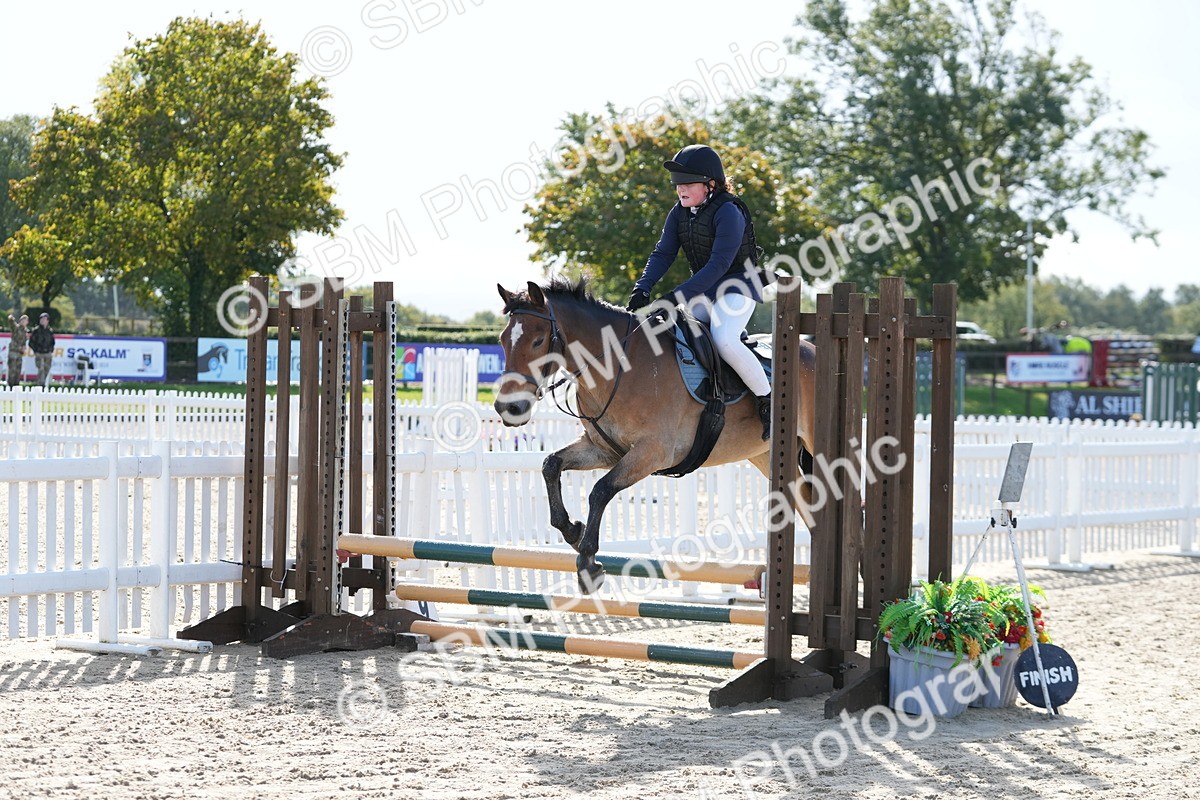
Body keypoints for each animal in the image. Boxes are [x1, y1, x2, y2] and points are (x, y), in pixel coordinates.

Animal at [494, 277, 816, 593]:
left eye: (538, 341)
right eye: (502, 340)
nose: (508, 408)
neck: (619, 367)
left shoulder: (653, 452)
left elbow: (600, 490)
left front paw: (588, 563)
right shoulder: (603, 450)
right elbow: (551, 464)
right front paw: (572, 530)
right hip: (766, 455)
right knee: (805, 502)